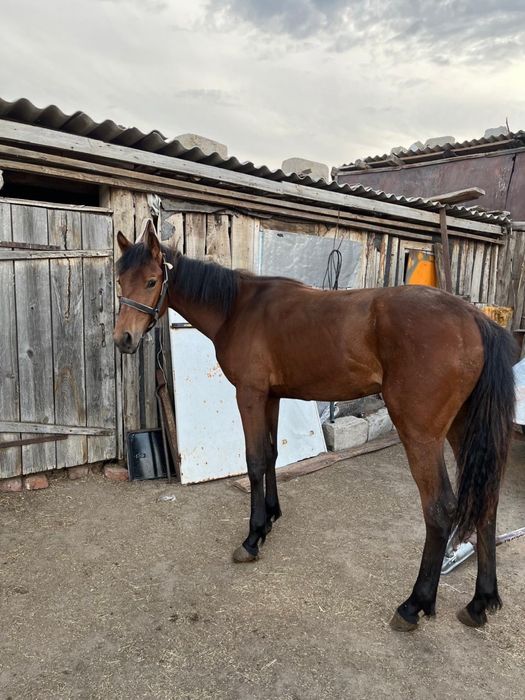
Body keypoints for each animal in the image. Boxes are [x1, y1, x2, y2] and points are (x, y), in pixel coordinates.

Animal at [113, 220, 516, 631]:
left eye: (150, 281)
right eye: (119, 281)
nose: (123, 339)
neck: (239, 308)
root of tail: (474, 319)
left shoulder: (250, 395)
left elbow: (254, 460)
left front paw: (252, 537)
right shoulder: (271, 397)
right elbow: (272, 455)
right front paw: (270, 518)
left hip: (421, 434)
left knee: (439, 509)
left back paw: (414, 604)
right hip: (461, 428)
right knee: (486, 500)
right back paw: (480, 602)